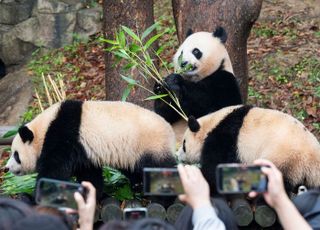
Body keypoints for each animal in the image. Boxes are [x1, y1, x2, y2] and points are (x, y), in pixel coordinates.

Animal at [5, 99, 176, 197]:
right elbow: (89, 174)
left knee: (160, 169)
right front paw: (91, 192)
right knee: (133, 169)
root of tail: (170, 131)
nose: (7, 168)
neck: (44, 128)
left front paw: (40, 193)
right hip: (131, 153)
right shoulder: (83, 151)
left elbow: (54, 172)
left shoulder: (62, 136)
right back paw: (138, 186)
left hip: (150, 145)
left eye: (16, 155)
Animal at [178, 105, 320, 195]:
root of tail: (313, 158)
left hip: (286, 157)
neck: (211, 124)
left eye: (184, 144)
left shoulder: (225, 137)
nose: (178, 156)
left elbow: (215, 165)